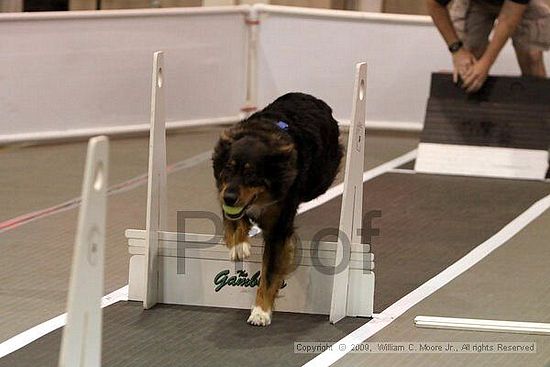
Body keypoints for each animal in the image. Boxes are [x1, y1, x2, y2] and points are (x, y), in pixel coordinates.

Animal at [213, 92, 342, 328]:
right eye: (228, 167)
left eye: (251, 174)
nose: (229, 197)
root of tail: (311, 97)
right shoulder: (224, 191)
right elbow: (233, 219)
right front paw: (238, 244)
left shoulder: (278, 229)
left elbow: (270, 273)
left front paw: (260, 312)